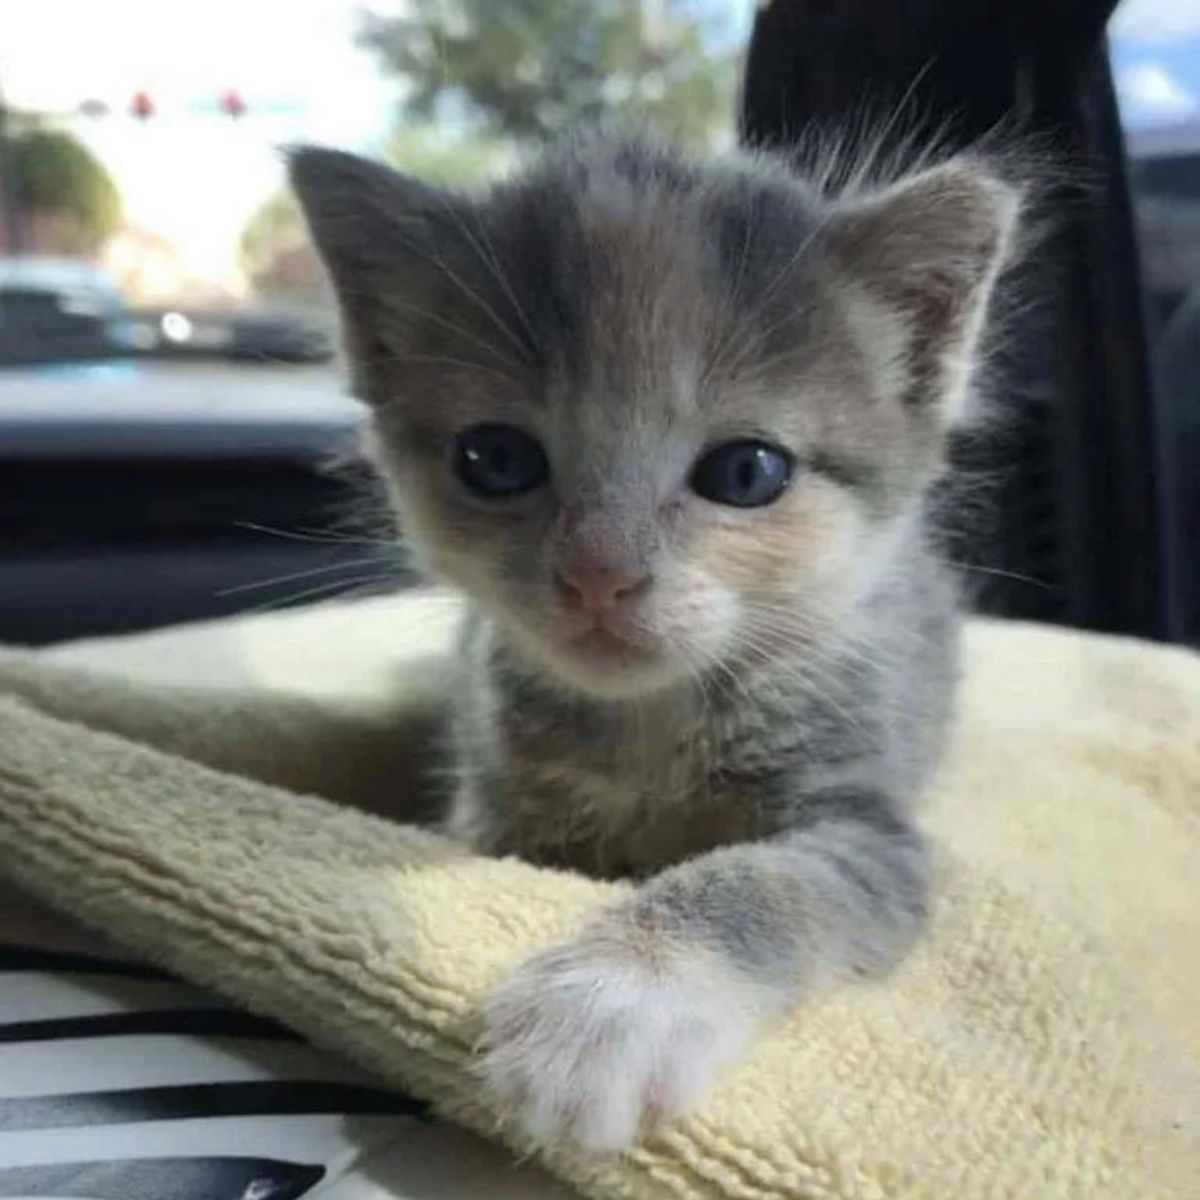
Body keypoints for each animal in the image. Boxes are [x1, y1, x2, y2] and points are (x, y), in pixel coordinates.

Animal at [290, 131, 1022, 1152]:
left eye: (747, 472)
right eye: (495, 459)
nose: (599, 574)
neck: (647, 723)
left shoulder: (868, 831)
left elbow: (760, 882)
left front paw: (614, 1002)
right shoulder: (499, 807)